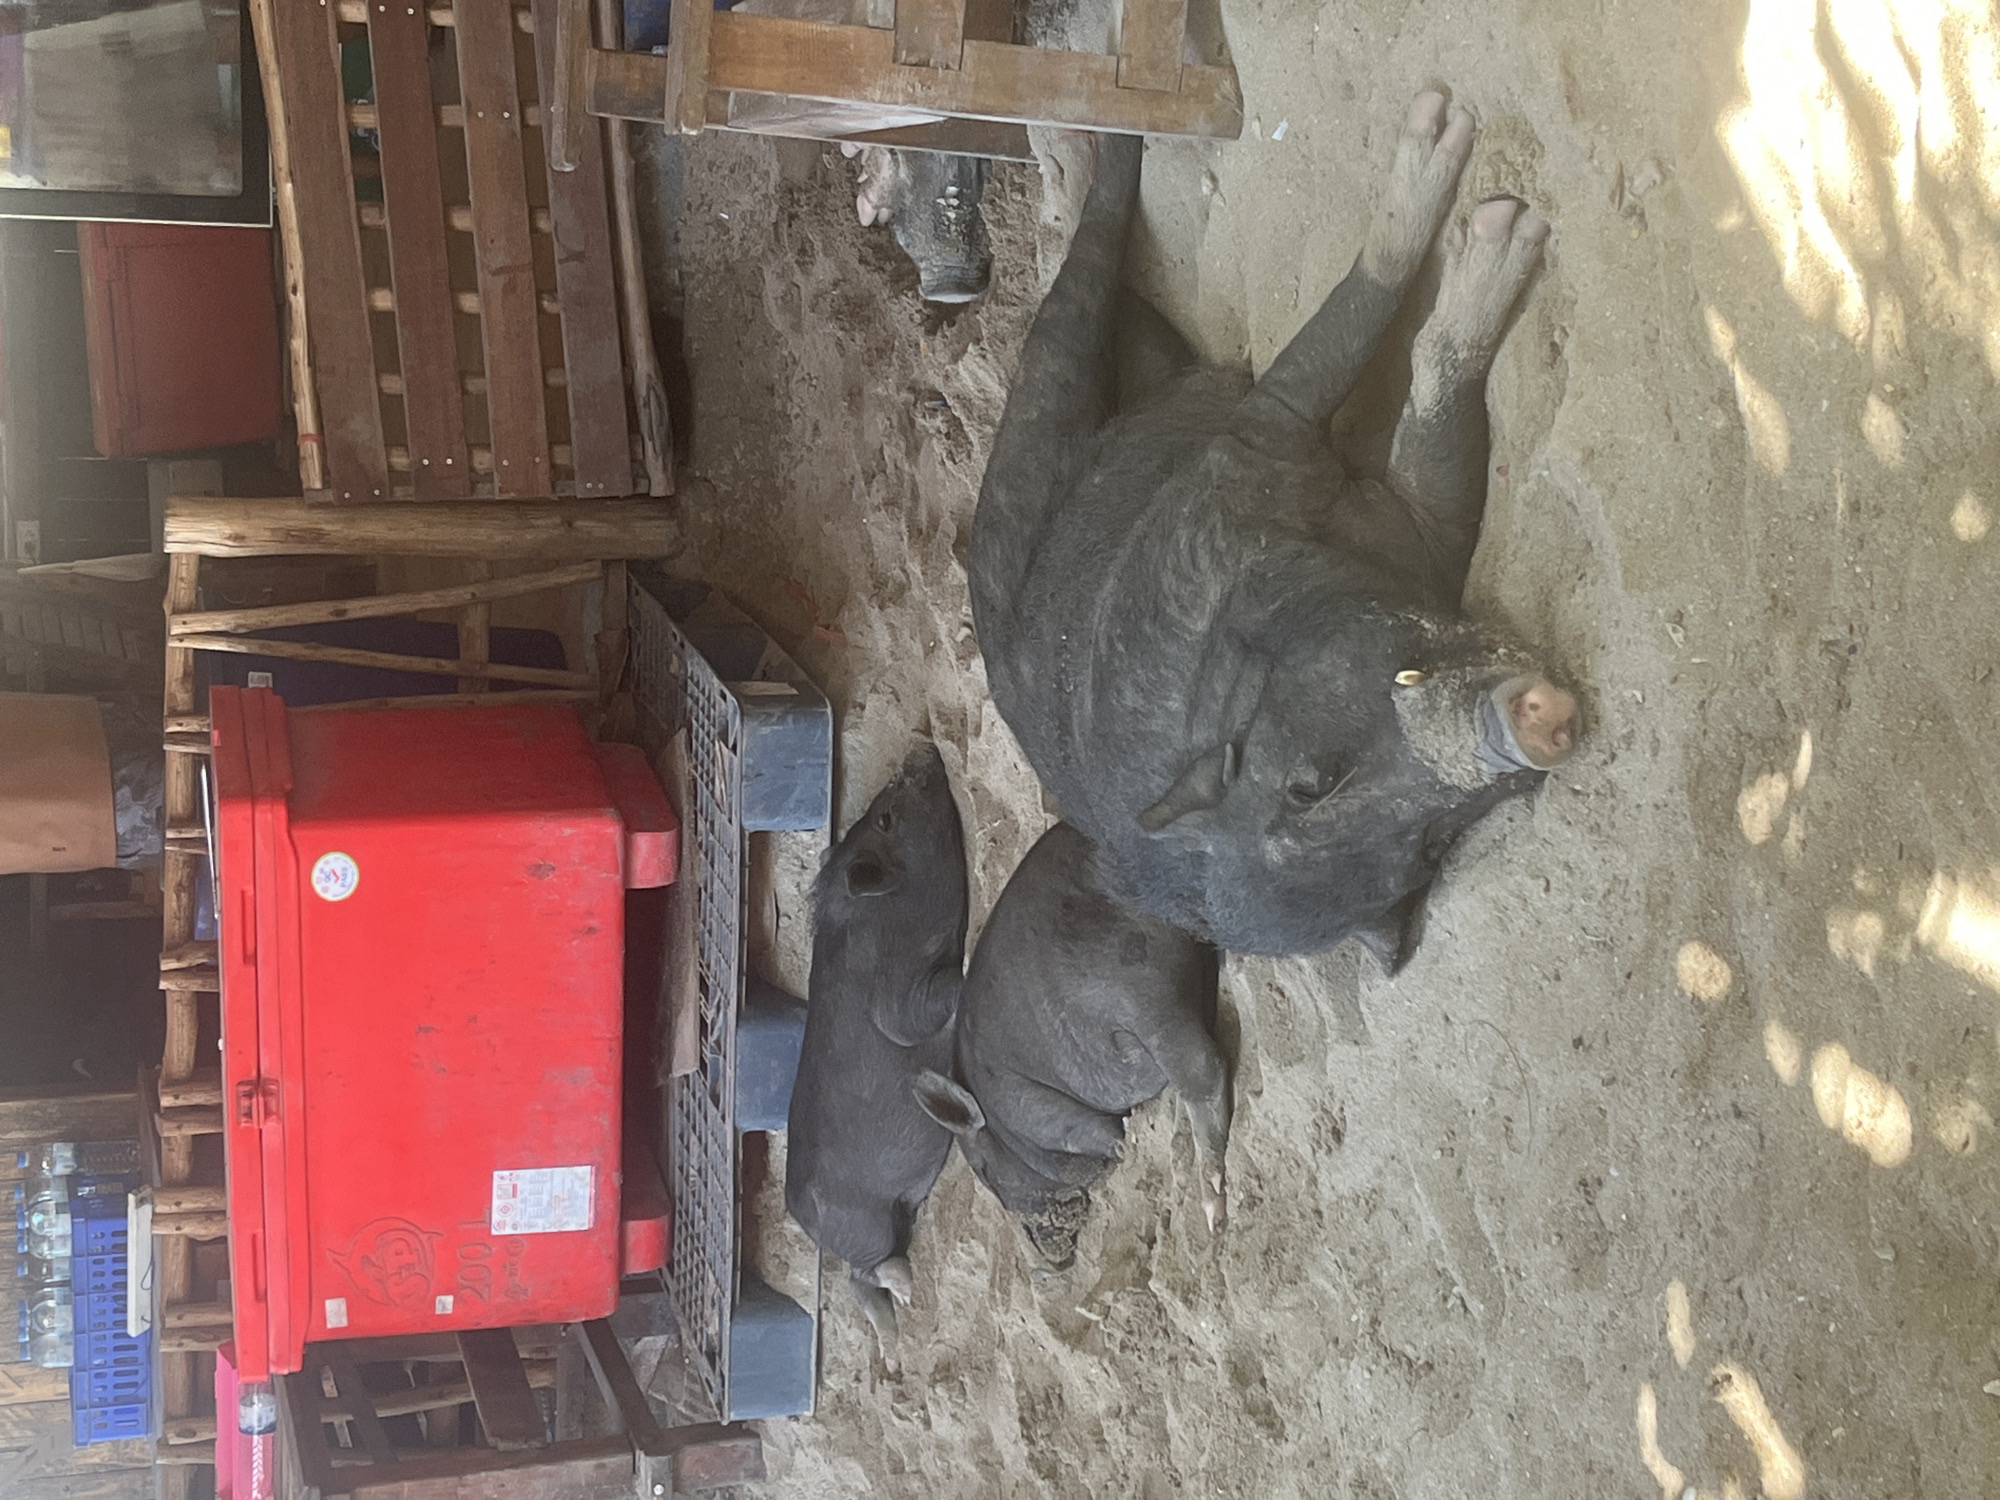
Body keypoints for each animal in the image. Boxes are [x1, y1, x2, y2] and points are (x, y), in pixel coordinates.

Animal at [784, 743, 969, 1369]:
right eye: (886, 819)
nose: (920, 749)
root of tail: (807, 1225)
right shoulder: (896, 1001)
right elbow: (928, 1004)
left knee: (859, 1281)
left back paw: (891, 1350)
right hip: (864, 1223)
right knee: (865, 1269)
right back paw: (903, 1310)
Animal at [912, 821, 1229, 1270]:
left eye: (984, 1172)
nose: (1050, 1264)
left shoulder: (1035, 1110)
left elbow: (1102, 1134)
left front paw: (1121, 1149)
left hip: (1135, 988)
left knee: (1200, 1070)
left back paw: (1212, 1207)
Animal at [967, 92, 1580, 963]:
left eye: (1433, 845)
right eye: (1311, 786)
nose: (1542, 725)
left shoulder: (1389, 525)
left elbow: (1429, 412)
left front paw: (1476, 193)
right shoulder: (1261, 445)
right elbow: (1368, 345)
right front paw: (1468, 178)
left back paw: (1087, 152)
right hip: (1031, 441)